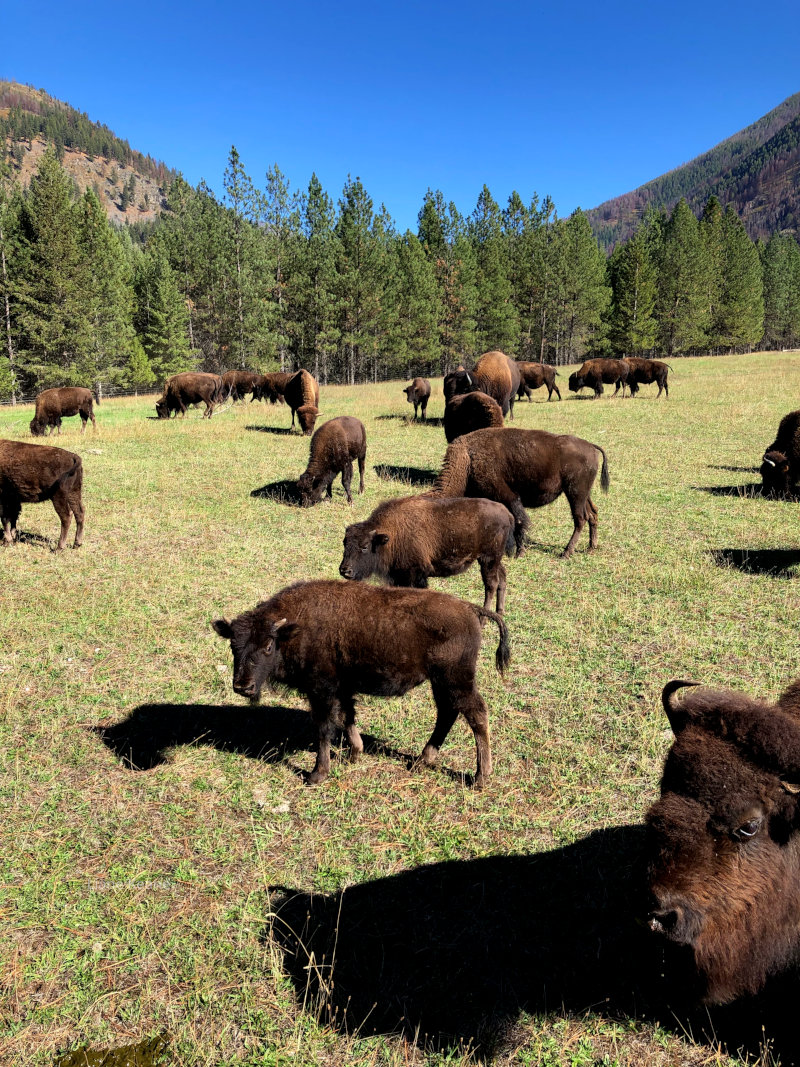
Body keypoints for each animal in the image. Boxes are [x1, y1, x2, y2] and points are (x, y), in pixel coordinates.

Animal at [212, 580, 510, 787]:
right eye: (233, 645)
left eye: (267, 646)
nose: (243, 686)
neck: (294, 628)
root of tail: (470, 609)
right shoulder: (342, 688)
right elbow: (347, 717)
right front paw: (355, 754)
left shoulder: (321, 691)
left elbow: (324, 729)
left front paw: (317, 774)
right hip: (441, 682)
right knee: (448, 714)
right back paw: (421, 762)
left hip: (455, 680)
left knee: (476, 715)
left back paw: (480, 778)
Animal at [339, 495, 515, 613]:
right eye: (344, 543)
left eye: (364, 546)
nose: (344, 570)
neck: (391, 534)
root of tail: (507, 513)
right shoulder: (399, 576)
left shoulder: (415, 574)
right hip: (494, 560)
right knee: (502, 577)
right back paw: (500, 612)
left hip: (488, 559)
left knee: (491, 584)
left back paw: (485, 618)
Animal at [435, 427, 609, 558]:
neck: (467, 460)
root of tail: (591, 446)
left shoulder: (509, 497)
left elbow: (519, 521)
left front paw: (519, 553)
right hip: (584, 494)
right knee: (592, 513)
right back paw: (590, 548)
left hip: (575, 492)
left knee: (580, 518)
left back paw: (566, 553)